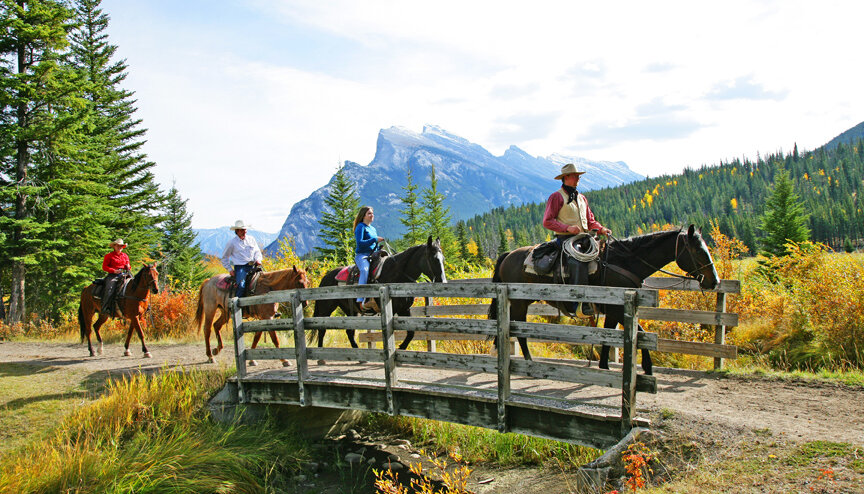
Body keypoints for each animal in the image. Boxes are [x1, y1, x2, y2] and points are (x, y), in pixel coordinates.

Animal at [310, 237, 446, 350]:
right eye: (434, 258)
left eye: (443, 259)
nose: (442, 281)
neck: (397, 274)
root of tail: (326, 277)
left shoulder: (404, 309)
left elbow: (411, 333)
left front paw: (401, 348)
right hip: (325, 308)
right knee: (321, 329)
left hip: (350, 309)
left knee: (349, 331)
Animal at [490, 226, 720, 376]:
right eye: (698, 250)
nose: (714, 281)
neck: (625, 262)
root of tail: (508, 254)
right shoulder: (617, 309)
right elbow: (639, 332)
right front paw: (647, 366)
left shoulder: (613, 309)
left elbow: (609, 335)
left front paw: (604, 366)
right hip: (519, 302)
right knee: (518, 328)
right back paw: (528, 360)